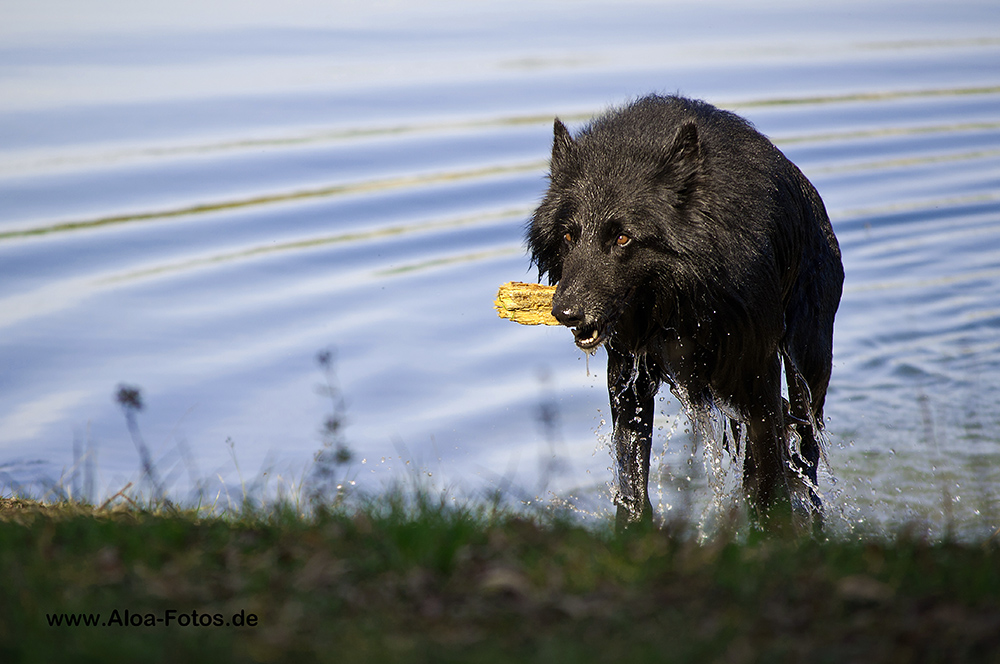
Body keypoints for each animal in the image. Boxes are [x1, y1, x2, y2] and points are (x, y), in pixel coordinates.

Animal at [528, 94, 840, 528]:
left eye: (622, 238)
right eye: (570, 235)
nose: (566, 312)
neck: (680, 300)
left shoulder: (757, 370)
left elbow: (769, 483)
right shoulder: (627, 375)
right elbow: (631, 481)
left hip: (807, 367)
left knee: (804, 451)